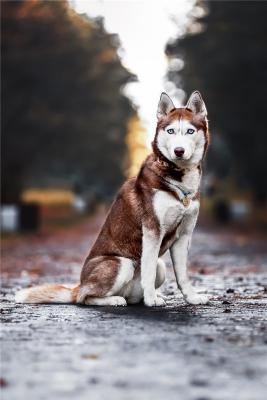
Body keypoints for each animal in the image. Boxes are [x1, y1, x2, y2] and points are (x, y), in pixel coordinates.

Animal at [15, 92, 210, 308]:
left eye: (190, 131)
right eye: (171, 130)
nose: (178, 151)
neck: (178, 181)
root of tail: (79, 285)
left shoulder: (183, 235)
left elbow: (183, 275)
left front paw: (191, 297)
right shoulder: (152, 231)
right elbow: (148, 270)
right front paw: (151, 300)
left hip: (159, 268)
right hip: (120, 263)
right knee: (85, 297)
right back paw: (117, 299)